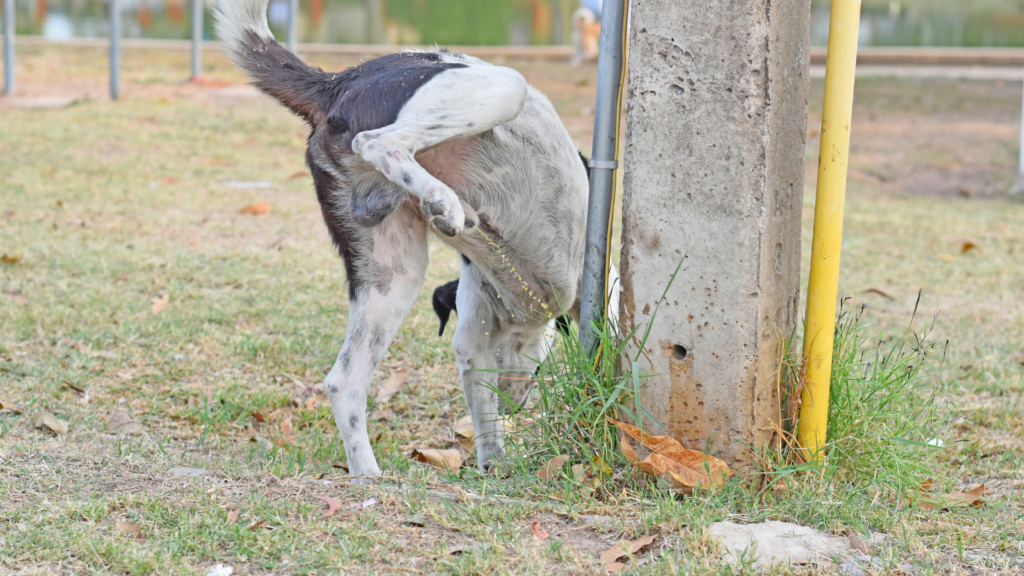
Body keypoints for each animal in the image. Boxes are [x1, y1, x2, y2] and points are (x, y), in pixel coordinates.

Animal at [214, 0, 614, 477]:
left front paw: (495, 470)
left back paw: (368, 476)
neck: (524, 309)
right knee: (378, 142)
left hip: (392, 275)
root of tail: (337, 81)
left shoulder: (473, 345)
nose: (516, 402)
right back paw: (445, 202)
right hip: (500, 86)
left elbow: (487, 427)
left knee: (343, 382)